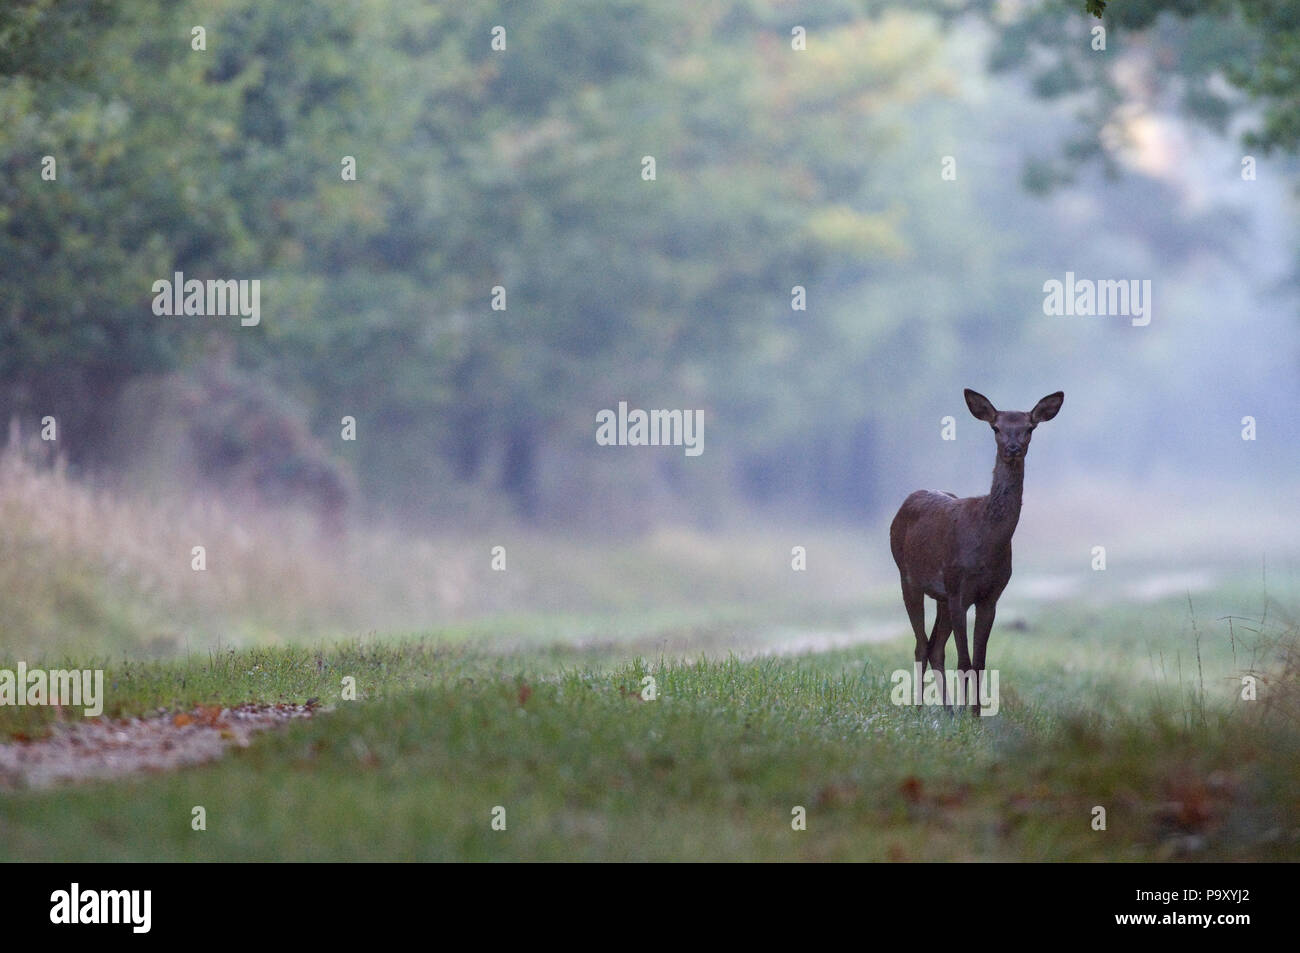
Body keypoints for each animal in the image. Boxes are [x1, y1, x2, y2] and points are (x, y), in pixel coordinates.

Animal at [889, 388, 1063, 714]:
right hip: (908, 577)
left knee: (935, 647)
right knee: (921, 644)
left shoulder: (990, 595)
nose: (1012, 448)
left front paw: (975, 715)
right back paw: (918, 708)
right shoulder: (959, 589)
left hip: (942, 596)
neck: (987, 542)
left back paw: (946, 710)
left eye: (1029, 427)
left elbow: (980, 662)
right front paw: (968, 715)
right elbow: (965, 660)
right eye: (995, 427)